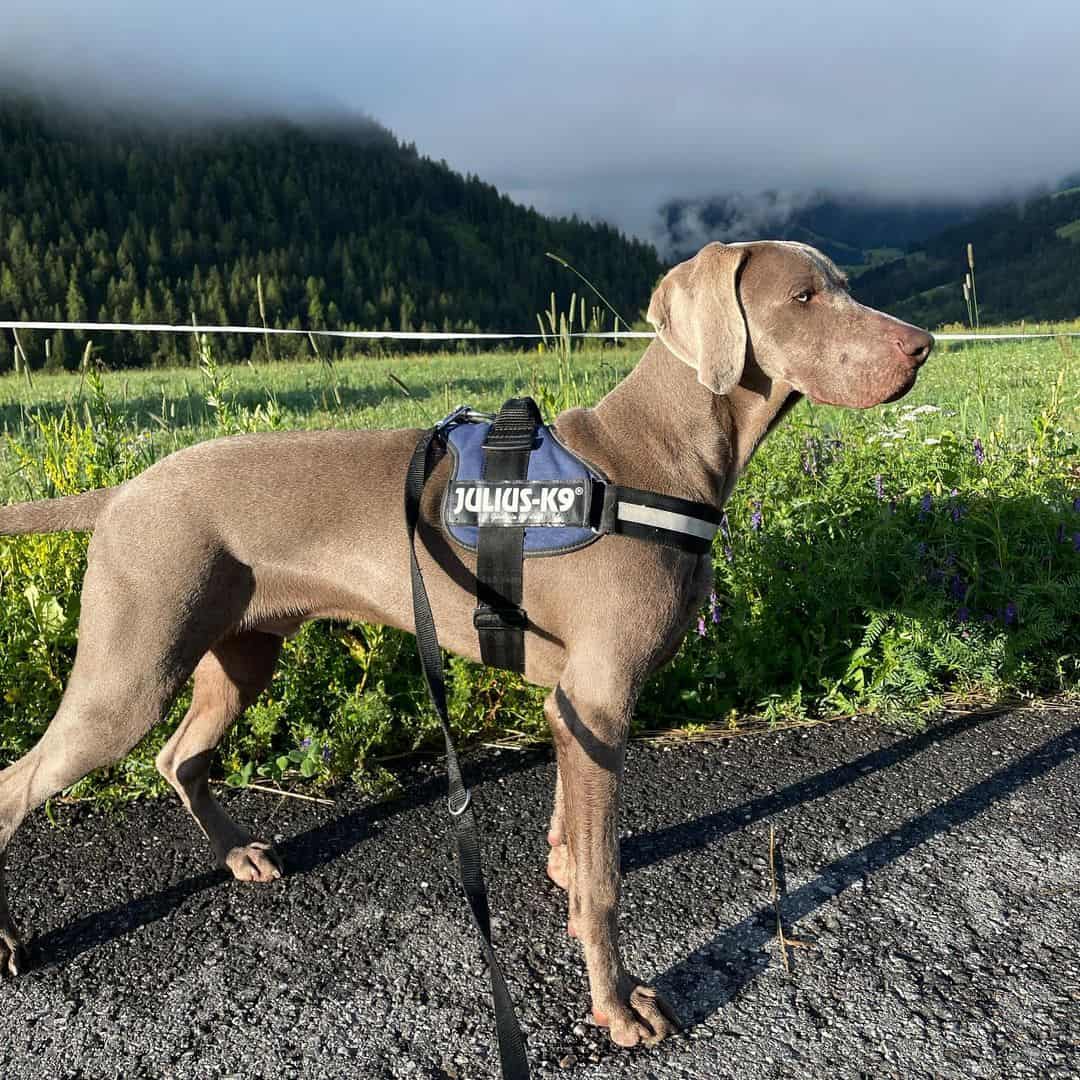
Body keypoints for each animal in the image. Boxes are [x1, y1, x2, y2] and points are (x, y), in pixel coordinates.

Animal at [0, 243, 928, 1045]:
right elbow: (606, 880)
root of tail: (126, 491)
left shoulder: (572, 705)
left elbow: (571, 829)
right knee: (20, 785)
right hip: (130, 672)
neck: (652, 460)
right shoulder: (600, 700)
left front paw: (561, 869)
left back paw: (235, 856)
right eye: (803, 297)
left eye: (842, 286)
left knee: (178, 757)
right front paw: (618, 1004)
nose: (922, 346)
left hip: (243, 649)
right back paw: (11, 938)